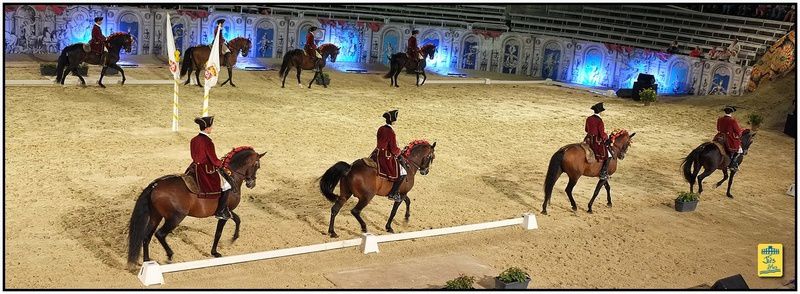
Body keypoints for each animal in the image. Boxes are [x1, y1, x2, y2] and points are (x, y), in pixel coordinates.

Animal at [126, 146, 266, 268]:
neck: (231, 176)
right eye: (257, 165)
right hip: (175, 218)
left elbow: (237, 219)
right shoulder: (224, 213)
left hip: (156, 216)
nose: (251, 183)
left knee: (146, 237)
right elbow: (218, 233)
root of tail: (155, 185)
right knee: (160, 234)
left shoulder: (228, 211)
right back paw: (169, 255)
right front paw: (215, 252)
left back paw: (147, 261)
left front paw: (234, 238)